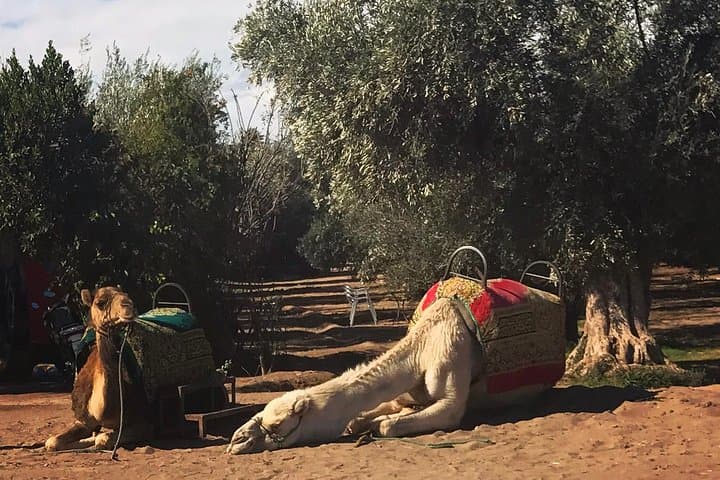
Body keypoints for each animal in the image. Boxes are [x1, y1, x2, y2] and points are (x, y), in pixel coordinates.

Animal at [45, 287, 152, 451]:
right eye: (100, 303)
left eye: (127, 295)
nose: (128, 306)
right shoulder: (83, 420)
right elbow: (52, 442)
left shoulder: (145, 421)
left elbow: (102, 439)